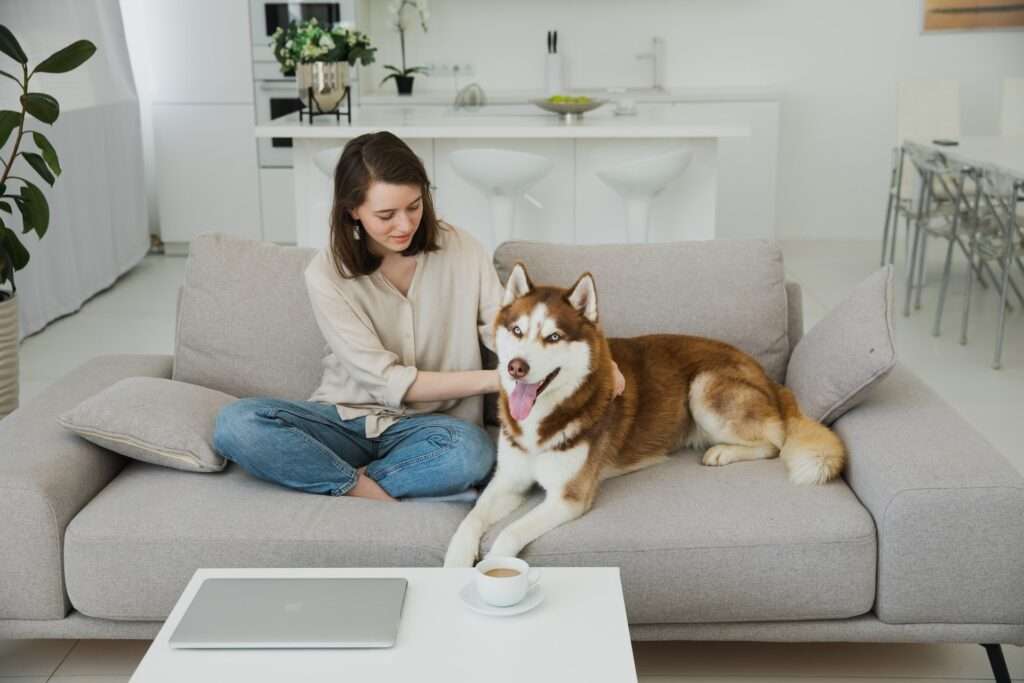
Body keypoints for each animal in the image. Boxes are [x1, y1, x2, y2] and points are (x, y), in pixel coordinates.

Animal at [444, 264, 843, 569]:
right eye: (517, 331)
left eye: (553, 337)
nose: (516, 367)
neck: (542, 420)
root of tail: (766, 375)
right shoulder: (507, 481)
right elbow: (471, 518)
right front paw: (456, 560)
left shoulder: (568, 497)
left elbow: (510, 532)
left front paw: (494, 565)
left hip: (704, 387)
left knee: (776, 441)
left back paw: (723, 452)